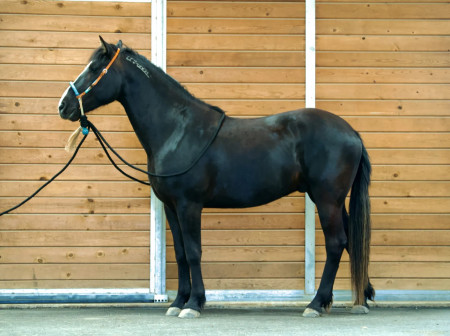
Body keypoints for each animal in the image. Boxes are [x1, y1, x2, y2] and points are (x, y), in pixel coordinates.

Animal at [58, 38, 374, 318]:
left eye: (94, 69)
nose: (63, 106)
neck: (178, 129)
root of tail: (352, 133)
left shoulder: (189, 205)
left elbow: (194, 251)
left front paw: (194, 304)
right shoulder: (171, 207)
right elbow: (180, 253)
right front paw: (178, 302)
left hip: (326, 199)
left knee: (336, 243)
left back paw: (316, 304)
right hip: (334, 201)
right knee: (350, 240)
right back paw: (361, 298)